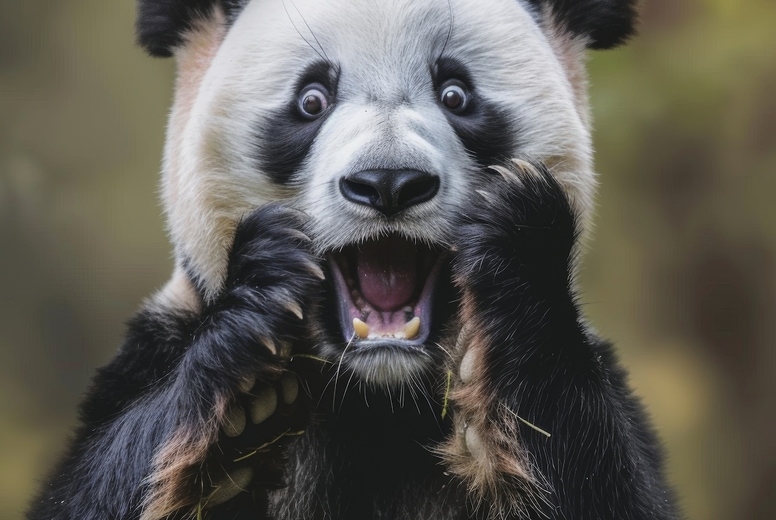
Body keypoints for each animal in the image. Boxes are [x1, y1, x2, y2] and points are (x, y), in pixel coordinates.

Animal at [27, 0, 681, 519]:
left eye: (456, 93)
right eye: (311, 99)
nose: (388, 181)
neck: (376, 397)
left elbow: (607, 481)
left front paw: (514, 229)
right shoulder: (156, 344)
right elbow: (92, 487)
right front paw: (246, 392)